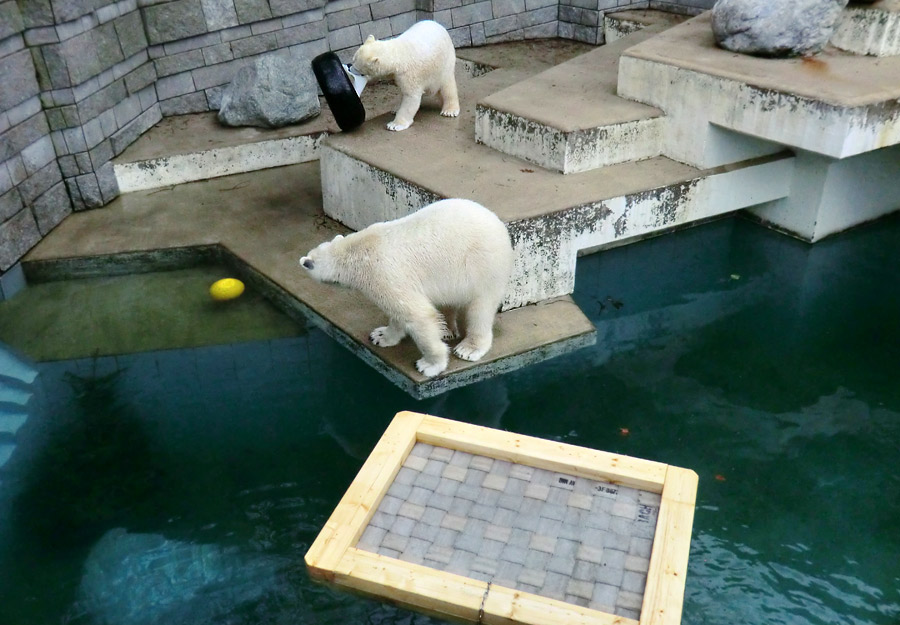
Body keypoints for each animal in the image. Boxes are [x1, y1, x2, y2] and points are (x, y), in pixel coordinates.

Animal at [298, 199, 512, 376]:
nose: (303, 261)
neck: (355, 252)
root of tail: (500, 227)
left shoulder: (382, 274)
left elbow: (417, 314)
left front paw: (429, 365)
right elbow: (400, 313)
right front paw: (381, 336)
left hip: (482, 266)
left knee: (480, 309)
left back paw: (469, 348)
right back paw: (445, 329)